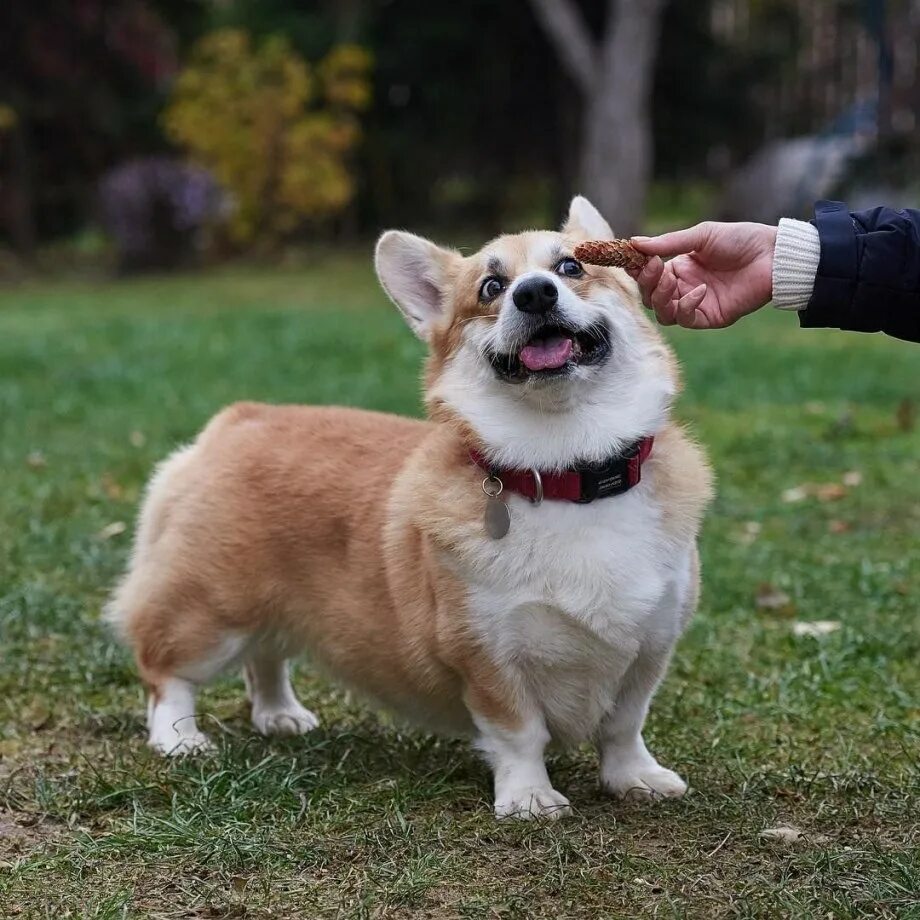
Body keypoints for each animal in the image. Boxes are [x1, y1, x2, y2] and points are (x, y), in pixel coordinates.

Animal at [108, 196, 712, 820]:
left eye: (570, 267)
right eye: (492, 287)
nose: (534, 294)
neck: (564, 467)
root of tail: (235, 421)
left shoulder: (651, 644)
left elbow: (623, 726)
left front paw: (635, 778)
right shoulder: (486, 654)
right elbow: (520, 733)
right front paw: (529, 798)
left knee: (266, 657)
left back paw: (279, 714)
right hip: (209, 611)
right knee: (166, 672)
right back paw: (180, 739)